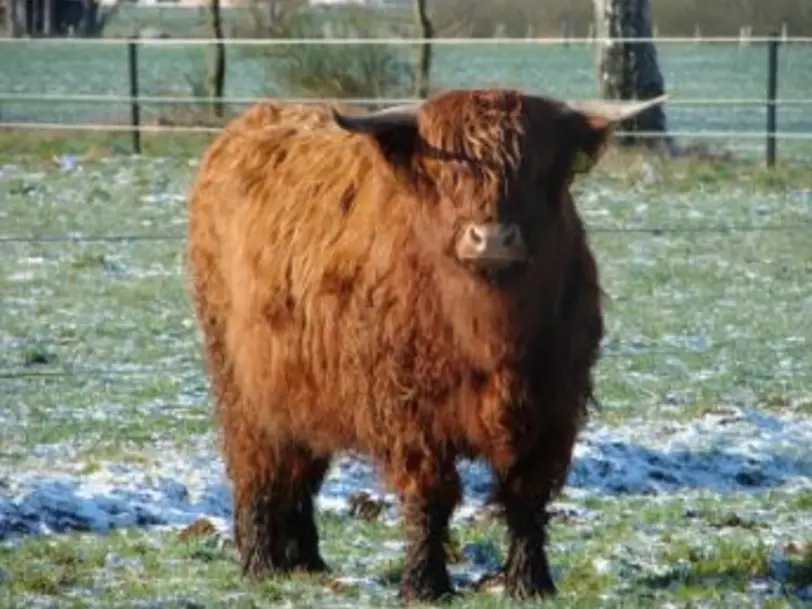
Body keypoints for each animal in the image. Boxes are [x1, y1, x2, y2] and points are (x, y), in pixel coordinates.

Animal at [189, 88, 668, 600]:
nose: (491, 238)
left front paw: (530, 581)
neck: (492, 336)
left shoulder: (552, 405)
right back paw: (259, 562)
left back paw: (305, 561)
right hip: (241, 379)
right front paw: (425, 584)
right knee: (257, 463)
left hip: (302, 387)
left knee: (301, 467)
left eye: (538, 168)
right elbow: (430, 497)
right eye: (448, 172)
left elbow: (527, 495)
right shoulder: (412, 411)